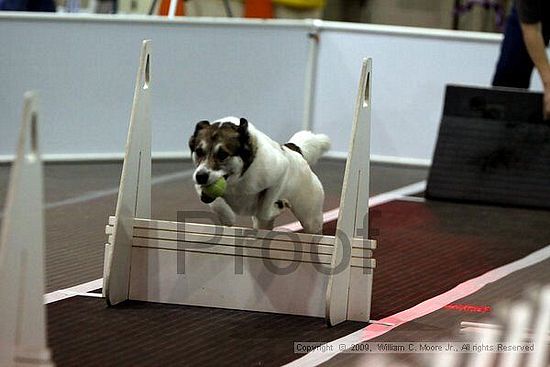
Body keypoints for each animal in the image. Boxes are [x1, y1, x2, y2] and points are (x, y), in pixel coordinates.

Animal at [190, 116, 330, 234]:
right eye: (199, 151)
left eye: (222, 154)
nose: (200, 177)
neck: (237, 180)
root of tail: (295, 150)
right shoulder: (201, 185)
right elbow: (215, 202)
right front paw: (227, 218)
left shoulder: (279, 171)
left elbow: (265, 210)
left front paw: (275, 210)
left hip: (310, 217)